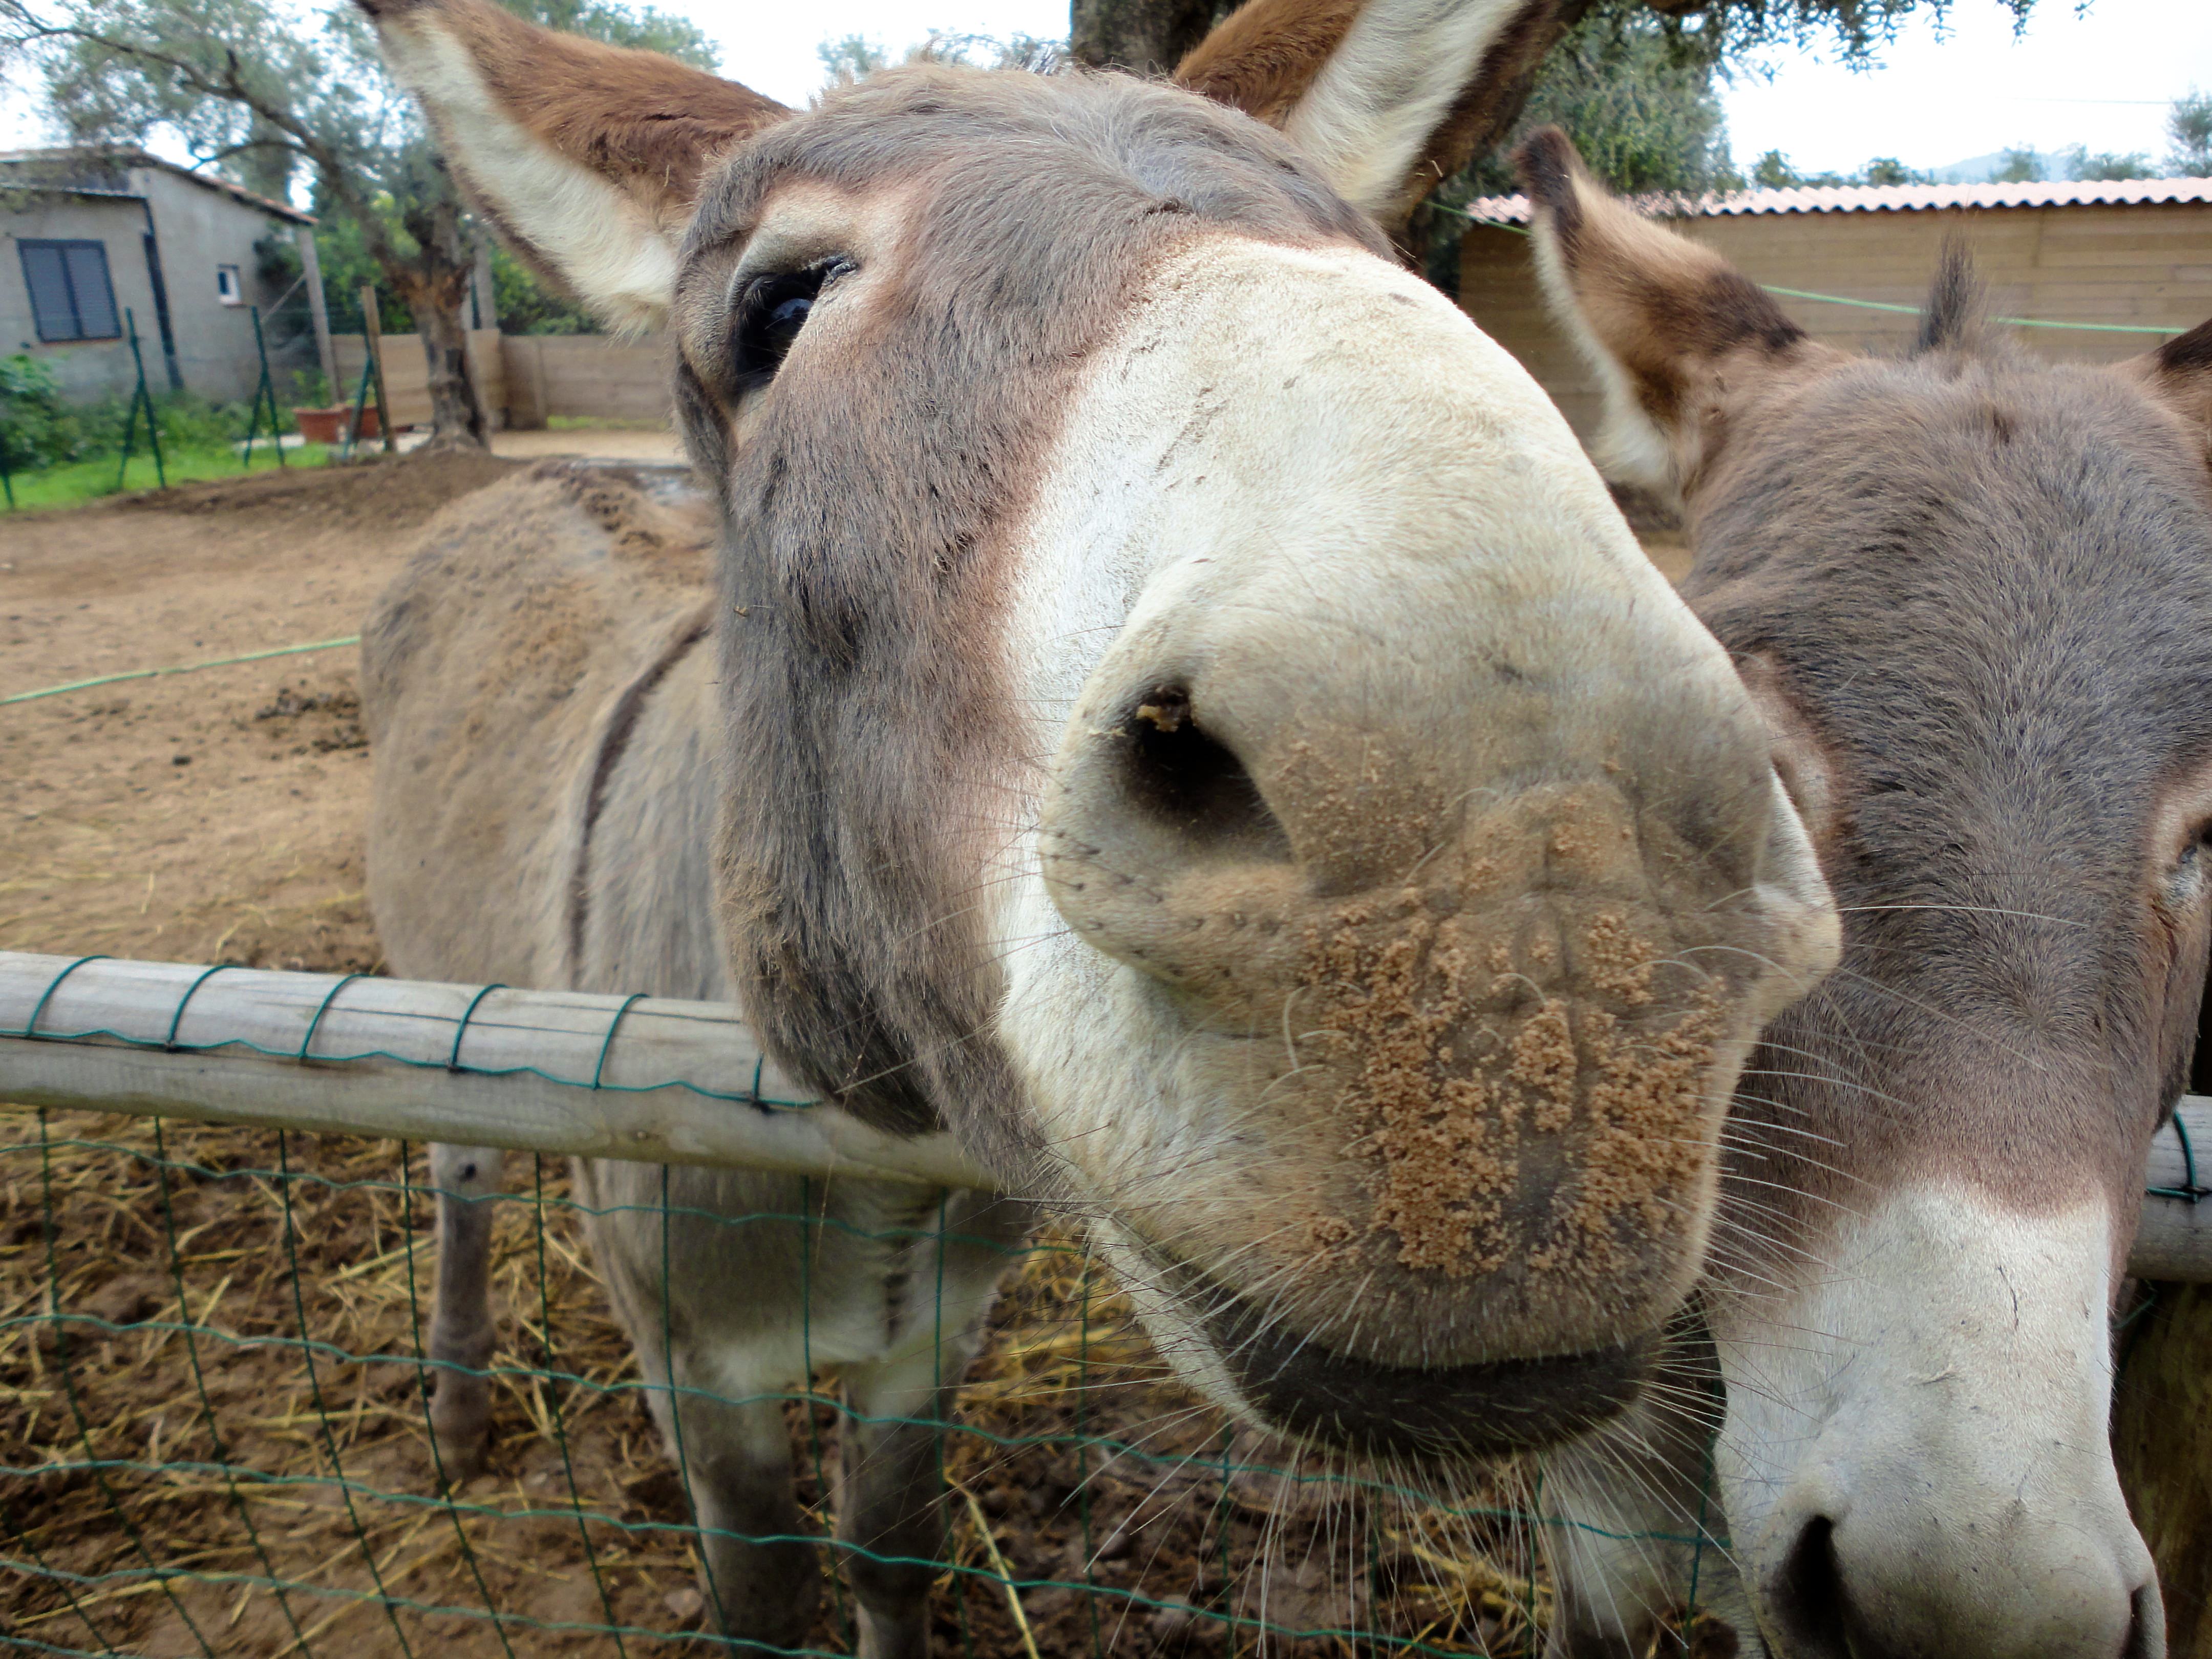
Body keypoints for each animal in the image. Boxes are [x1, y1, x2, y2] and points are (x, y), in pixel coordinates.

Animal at [355, 1, 1843, 1649]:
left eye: (1367, 245)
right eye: (775, 310)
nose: (1540, 872)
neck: (868, 1171)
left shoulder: (931, 1341)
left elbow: (890, 1549)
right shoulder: (698, 1374)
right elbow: (765, 1598)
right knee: (460, 1172)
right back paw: (456, 1410)